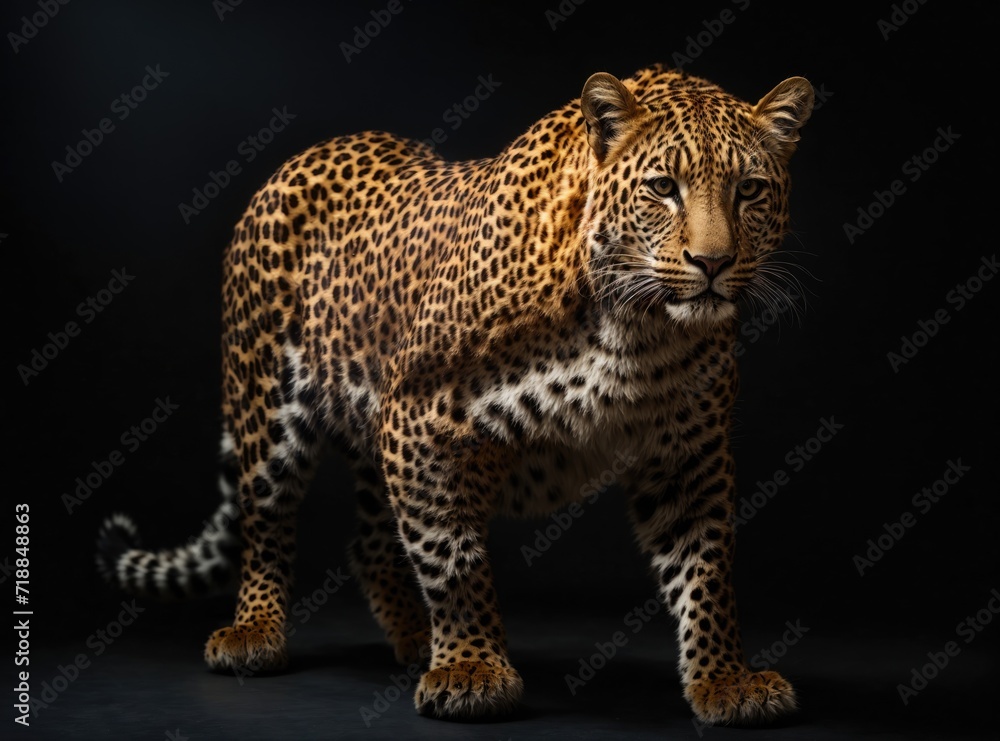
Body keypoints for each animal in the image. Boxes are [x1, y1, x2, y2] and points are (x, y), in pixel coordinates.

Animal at [96, 63, 814, 726]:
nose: (713, 263)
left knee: (370, 542)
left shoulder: (687, 452)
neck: (635, 330)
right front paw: (472, 669)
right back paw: (255, 632)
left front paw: (724, 679)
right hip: (266, 403)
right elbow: (451, 555)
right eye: (663, 188)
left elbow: (707, 569)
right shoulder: (423, 419)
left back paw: (415, 639)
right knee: (265, 520)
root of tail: (301, 158)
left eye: (750, 189)